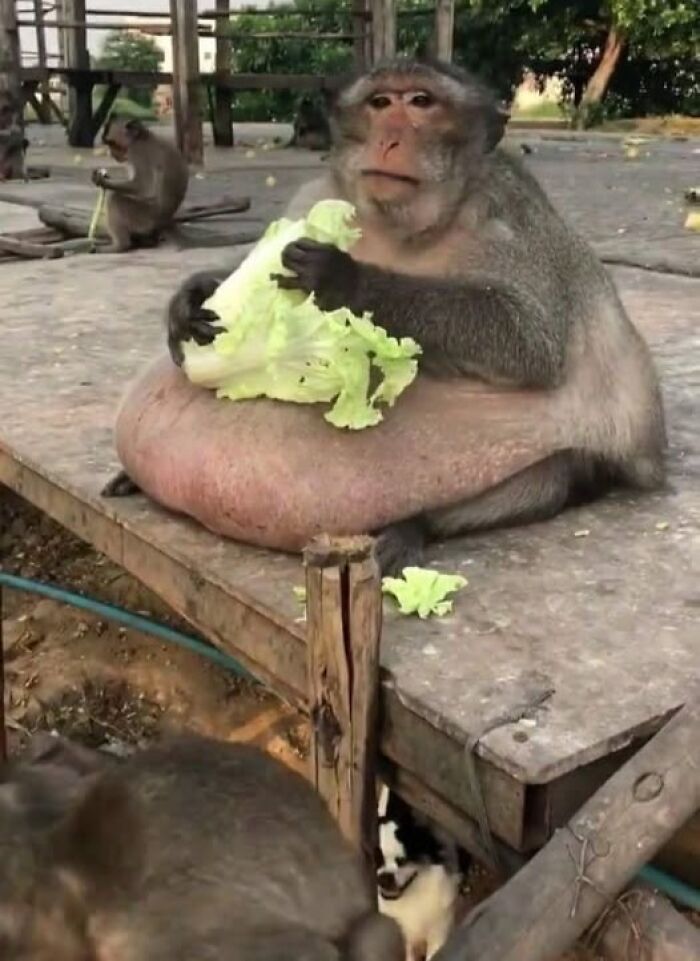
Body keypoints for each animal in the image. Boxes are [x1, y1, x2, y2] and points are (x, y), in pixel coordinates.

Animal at [91, 115, 189, 253]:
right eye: (109, 145)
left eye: (113, 144)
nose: (111, 154)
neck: (142, 137)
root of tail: (164, 221)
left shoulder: (137, 152)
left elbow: (143, 186)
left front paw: (104, 182)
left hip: (145, 218)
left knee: (115, 200)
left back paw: (121, 245)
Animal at [106, 58, 665, 575]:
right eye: (380, 103)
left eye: (421, 102)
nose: (391, 139)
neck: (404, 228)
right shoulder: (315, 195)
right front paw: (195, 295)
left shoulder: (509, 214)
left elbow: (530, 342)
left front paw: (345, 280)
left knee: (553, 473)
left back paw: (412, 525)